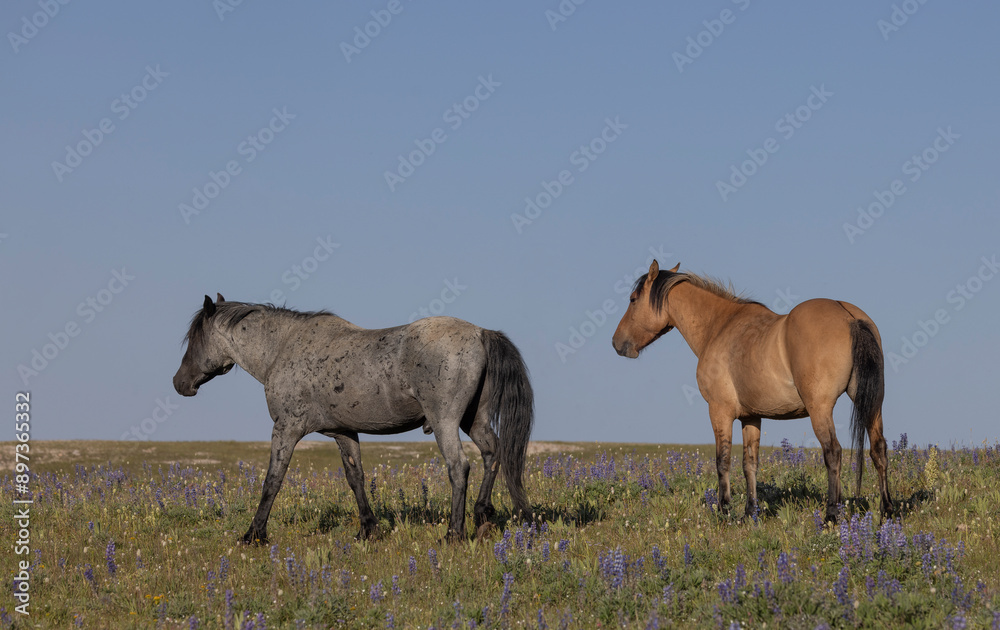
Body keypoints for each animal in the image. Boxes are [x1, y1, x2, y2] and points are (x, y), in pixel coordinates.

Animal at [174, 294, 532, 544]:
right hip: (474, 420)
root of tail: (480, 333)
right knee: (493, 453)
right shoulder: (344, 433)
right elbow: (355, 478)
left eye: (194, 339)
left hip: (445, 422)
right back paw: (483, 515)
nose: (180, 383)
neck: (283, 349)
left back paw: (453, 534)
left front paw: (254, 534)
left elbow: (272, 480)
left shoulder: (286, 429)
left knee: (459, 467)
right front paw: (367, 530)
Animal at [612, 262, 896, 524]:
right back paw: (887, 511)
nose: (617, 343)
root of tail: (849, 317)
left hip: (820, 408)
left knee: (833, 453)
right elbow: (749, 464)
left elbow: (722, 461)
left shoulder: (720, 411)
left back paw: (831, 515)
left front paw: (724, 511)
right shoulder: (751, 417)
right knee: (878, 450)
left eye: (633, 299)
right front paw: (750, 513)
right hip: (873, 405)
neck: (719, 327)